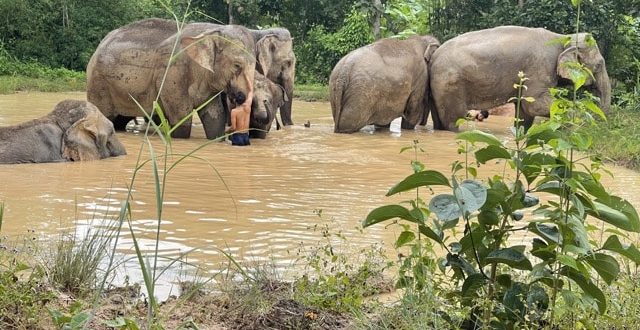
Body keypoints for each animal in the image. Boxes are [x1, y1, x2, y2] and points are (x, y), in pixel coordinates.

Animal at [86, 18, 256, 139]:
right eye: (237, 65)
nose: (239, 97)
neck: (210, 30)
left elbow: (215, 117)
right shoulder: (172, 73)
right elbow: (182, 118)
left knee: (119, 121)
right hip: (99, 84)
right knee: (106, 116)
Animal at [428, 25, 612, 131]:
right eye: (599, 65)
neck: (562, 37)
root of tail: (434, 57)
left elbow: (524, 112)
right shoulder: (540, 67)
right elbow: (534, 105)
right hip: (450, 83)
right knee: (454, 120)